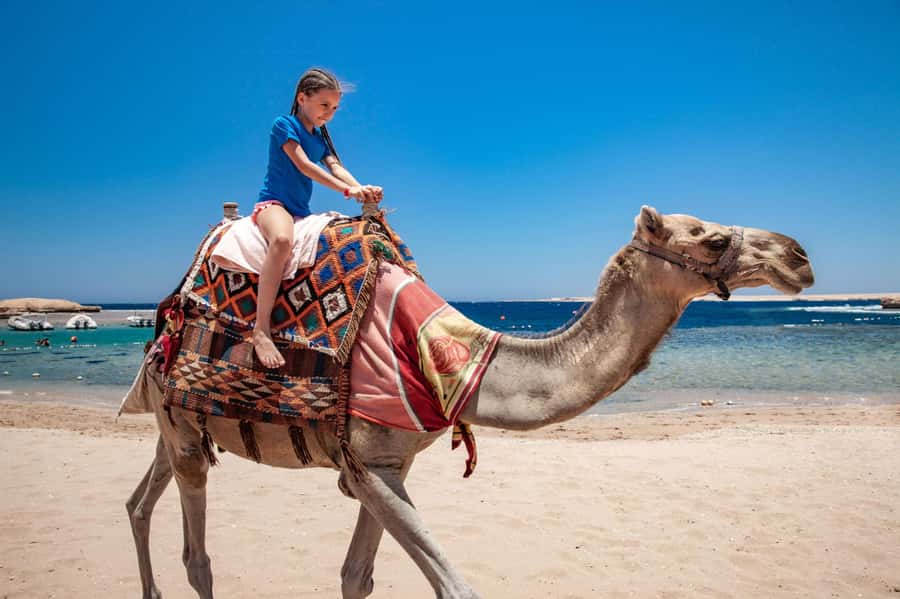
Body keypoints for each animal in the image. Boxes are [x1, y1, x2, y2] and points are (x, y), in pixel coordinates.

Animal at [124, 205, 814, 598]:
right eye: (712, 238)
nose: (800, 256)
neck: (451, 358)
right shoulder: (368, 463)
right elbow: (455, 589)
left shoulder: (385, 464)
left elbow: (356, 578)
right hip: (183, 430)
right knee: (197, 556)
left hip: (172, 422)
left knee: (138, 502)